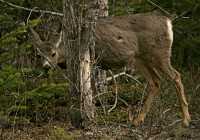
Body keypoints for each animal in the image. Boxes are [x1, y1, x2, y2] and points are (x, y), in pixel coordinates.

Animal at [30, 13, 191, 127]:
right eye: (38, 55)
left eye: (53, 53)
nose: (46, 66)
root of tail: (168, 21)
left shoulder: (91, 60)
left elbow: (90, 87)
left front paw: (90, 113)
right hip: (139, 58)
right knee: (155, 81)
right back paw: (137, 120)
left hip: (159, 53)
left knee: (176, 76)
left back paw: (186, 120)